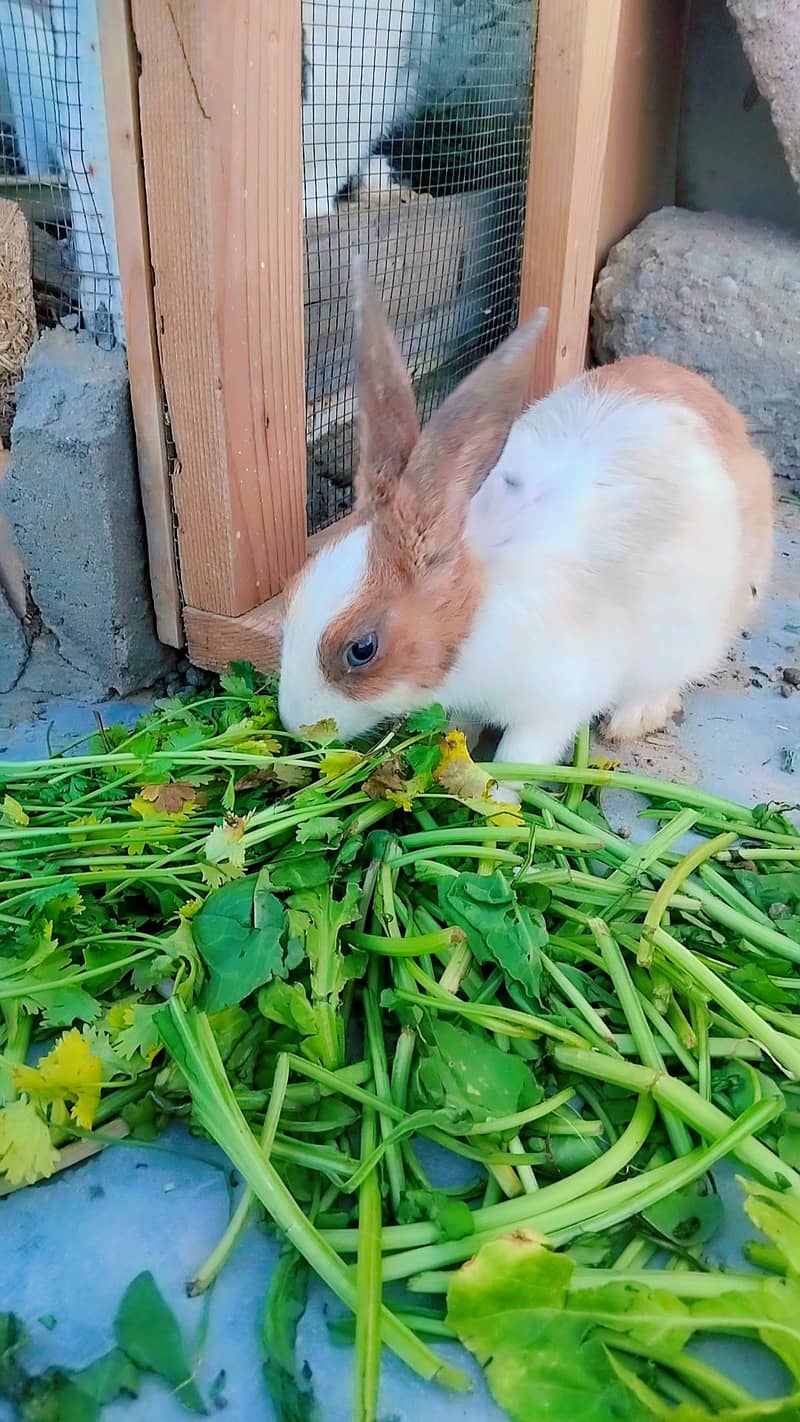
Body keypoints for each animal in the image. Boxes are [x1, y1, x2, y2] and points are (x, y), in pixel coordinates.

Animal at [276, 270, 774, 788]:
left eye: (362, 649)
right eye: (291, 591)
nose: (295, 724)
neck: (477, 608)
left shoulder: (551, 707)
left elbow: (519, 758)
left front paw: (492, 797)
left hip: (694, 632)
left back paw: (632, 718)